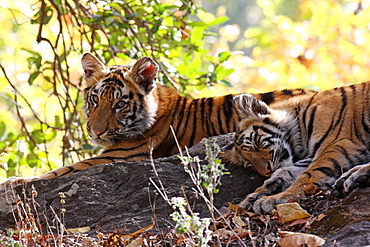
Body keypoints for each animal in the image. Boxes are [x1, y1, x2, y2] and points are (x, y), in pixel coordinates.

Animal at [0, 52, 316, 185]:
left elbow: (56, 172)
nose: (96, 132)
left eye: (119, 105)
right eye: (95, 100)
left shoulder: (116, 157)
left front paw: (12, 182)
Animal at [221, 81, 370, 214]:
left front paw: (274, 199)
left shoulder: (340, 145)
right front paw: (252, 198)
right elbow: (286, 172)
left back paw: (356, 176)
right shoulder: (311, 156)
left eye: (255, 145)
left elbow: (308, 176)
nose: (266, 171)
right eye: (249, 164)